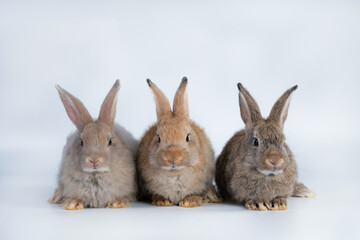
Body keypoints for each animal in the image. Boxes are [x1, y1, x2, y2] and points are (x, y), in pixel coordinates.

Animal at [47, 79, 138, 209]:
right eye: (81, 142)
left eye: (110, 141)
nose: (94, 161)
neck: (96, 174)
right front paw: (72, 204)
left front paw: (118, 203)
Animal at [136, 78, 221, 207]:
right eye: (158, 138)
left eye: (187, 137)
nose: (172, 157)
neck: (174, 173)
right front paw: (162, 201)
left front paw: (189, 202)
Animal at [215, 83, 314, 211]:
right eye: (256, 142)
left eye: (283, 142)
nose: (275, 160)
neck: (269, 175)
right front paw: (258, 203)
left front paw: (278, 203)